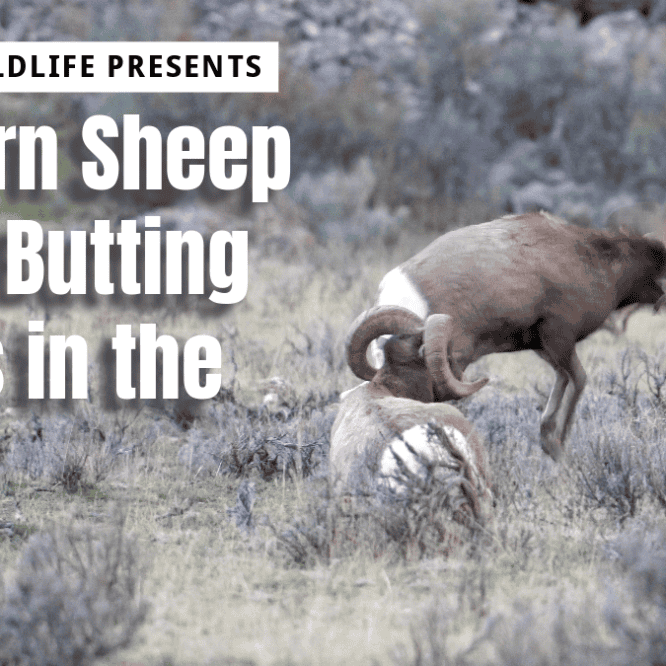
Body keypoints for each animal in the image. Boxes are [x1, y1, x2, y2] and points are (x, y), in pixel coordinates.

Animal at [349, 211, 666, 461]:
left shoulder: (550, 341)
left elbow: (573, 380)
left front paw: (555, 445)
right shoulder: (553, 340)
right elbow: (573, 380)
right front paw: (555, 445)